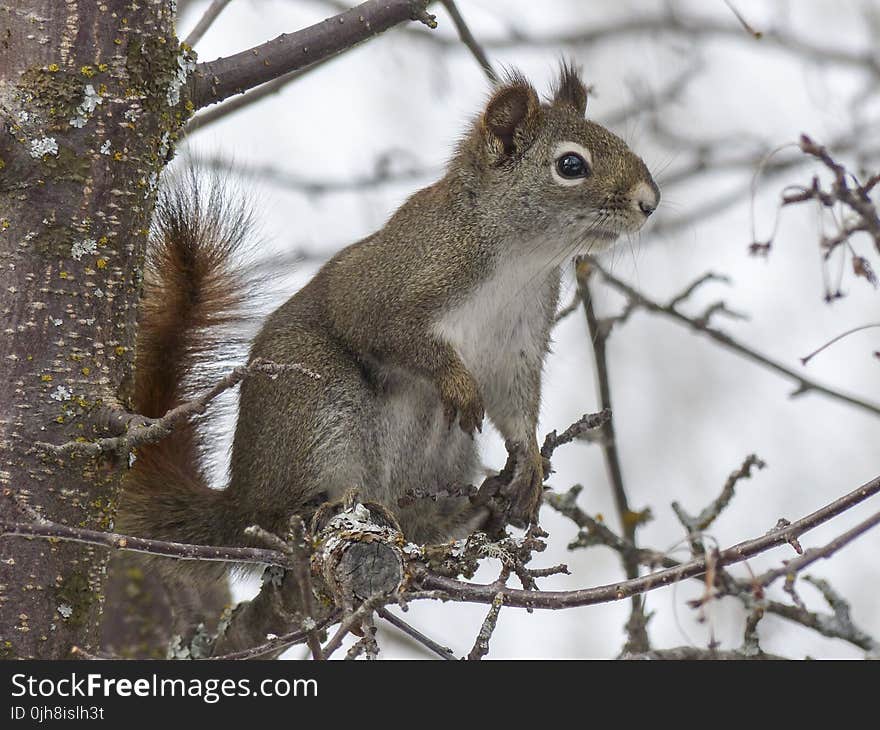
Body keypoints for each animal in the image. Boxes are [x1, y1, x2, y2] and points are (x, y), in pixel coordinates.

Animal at [117, 62, 656, 564]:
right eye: (571, 165)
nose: (649, 202)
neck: (521, 259)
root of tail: (238, 503)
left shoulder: (519, 340)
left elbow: (515, 401)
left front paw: (529, 463)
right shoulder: (388, 285)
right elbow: (389, 333)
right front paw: (456, 381)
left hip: (444, 454)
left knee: (419, 524)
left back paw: (471, 510)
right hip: (315, 404)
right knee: (285, 510)